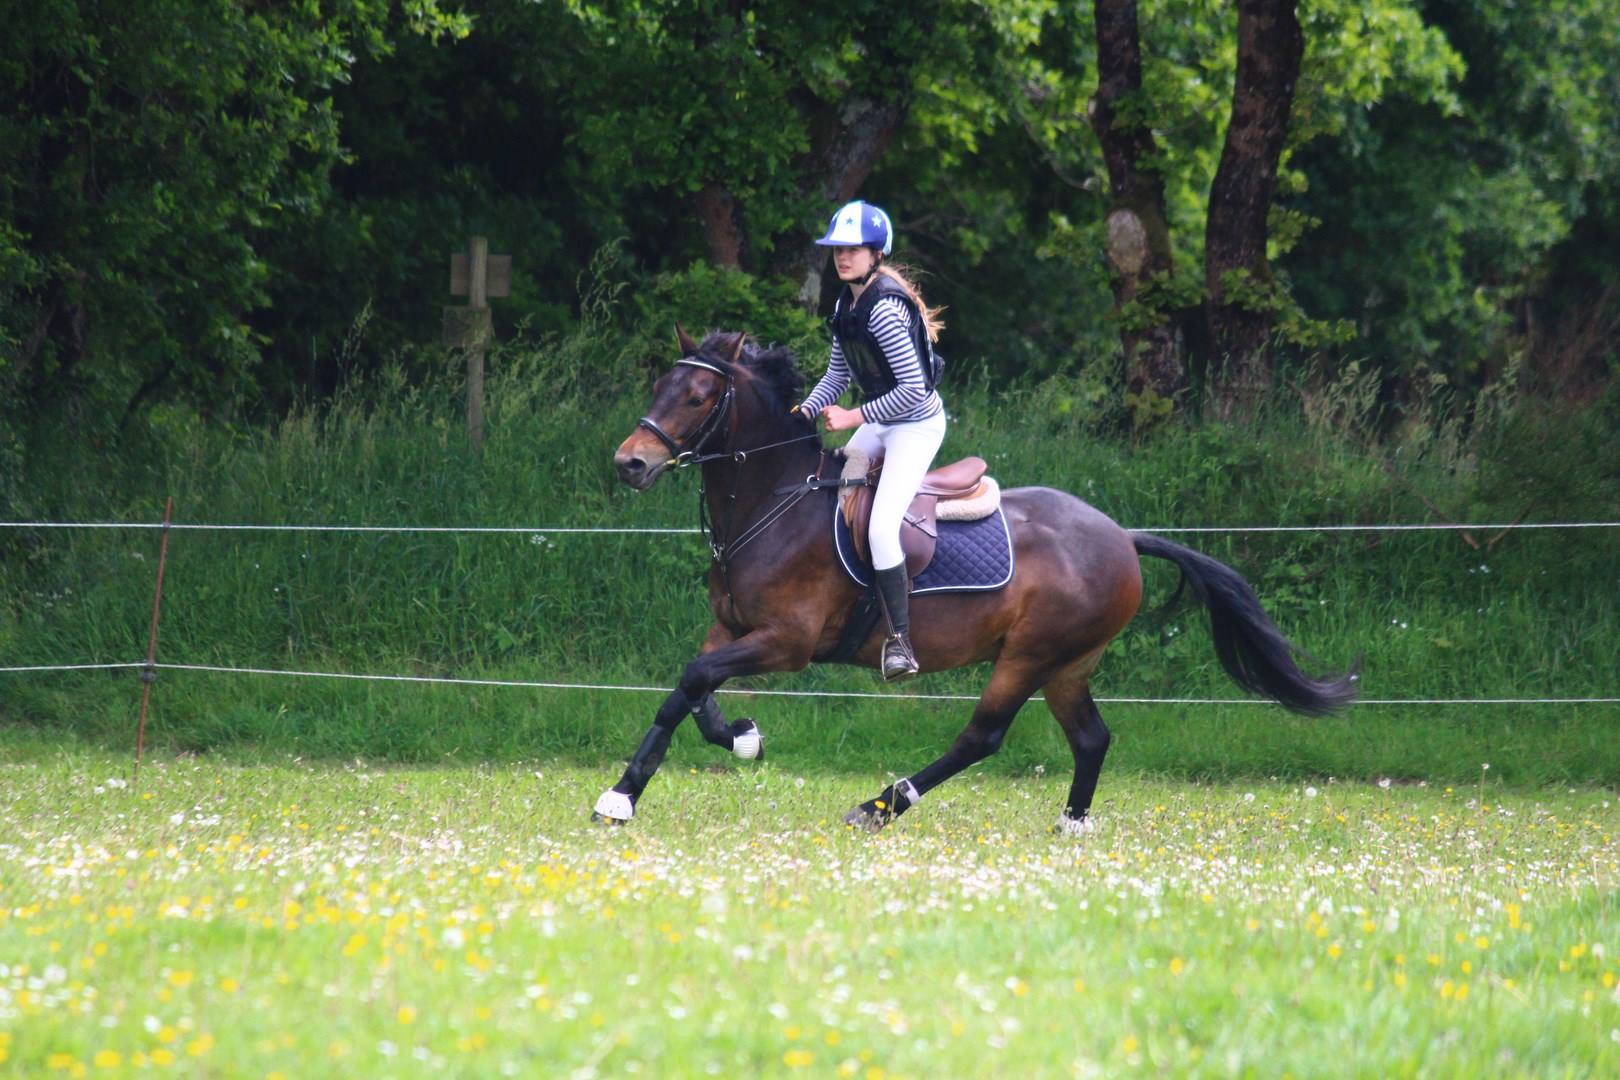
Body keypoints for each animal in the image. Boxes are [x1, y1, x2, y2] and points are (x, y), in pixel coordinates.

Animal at [596, 330, 1354, 835]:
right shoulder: (729, 625)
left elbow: (693, 681)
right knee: (1092, 738)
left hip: (1029, 655)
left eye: (698, 395)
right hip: (1068, 664)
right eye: (660, 387)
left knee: (982, 738)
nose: (630, 462)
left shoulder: (787, 642)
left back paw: (881, 805)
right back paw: (1072, 824)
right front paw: (735, 739)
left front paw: (626, 794)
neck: (773, 502)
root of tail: (1121, 536)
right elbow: (692, 691)